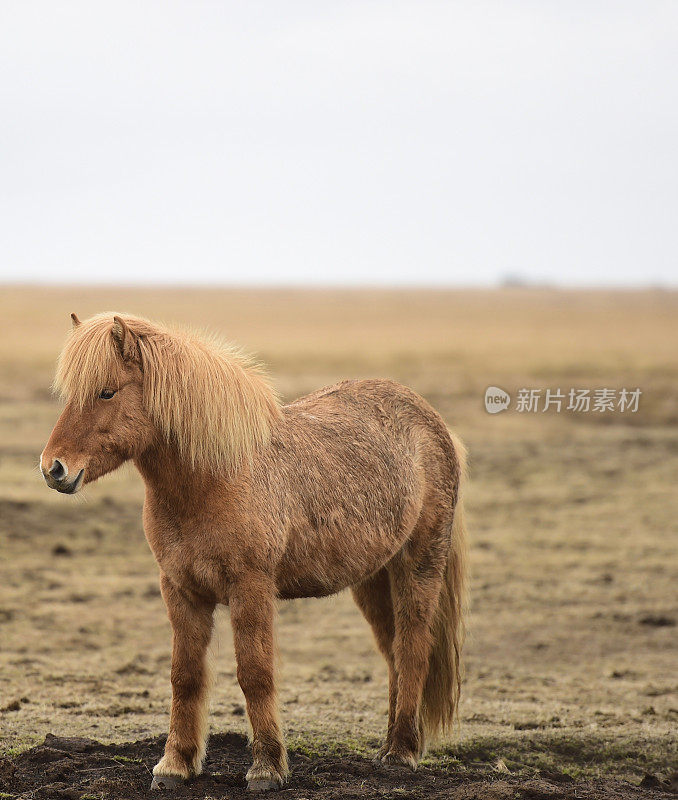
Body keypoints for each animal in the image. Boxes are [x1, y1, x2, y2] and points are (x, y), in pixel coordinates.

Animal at [41, 314, 468, 792]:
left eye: (106, 392)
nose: (53, 469)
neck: (215, 479)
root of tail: (433, 423)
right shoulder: (181, 591)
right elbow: (184, 676)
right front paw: (175, 765)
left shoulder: (251, 589)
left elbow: (255, 674)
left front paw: (266, 767)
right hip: (374, 579)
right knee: (393, 651)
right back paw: (391, 744)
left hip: (419, 565)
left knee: (412, 647)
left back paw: (402, 752)